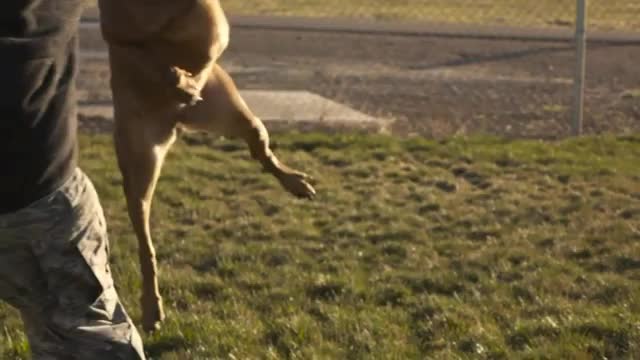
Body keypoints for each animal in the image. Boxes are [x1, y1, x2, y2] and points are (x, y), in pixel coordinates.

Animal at [97, 0, 316, 332]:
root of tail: (177, 122)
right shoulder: (119, 36)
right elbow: (146, 54)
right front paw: (176, 77)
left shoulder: (206, 21)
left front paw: (181, 77)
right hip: (139, 166)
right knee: (145, 245)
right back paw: (151, 307)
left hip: (230, 109)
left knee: (260, 150)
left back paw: (296, 182)